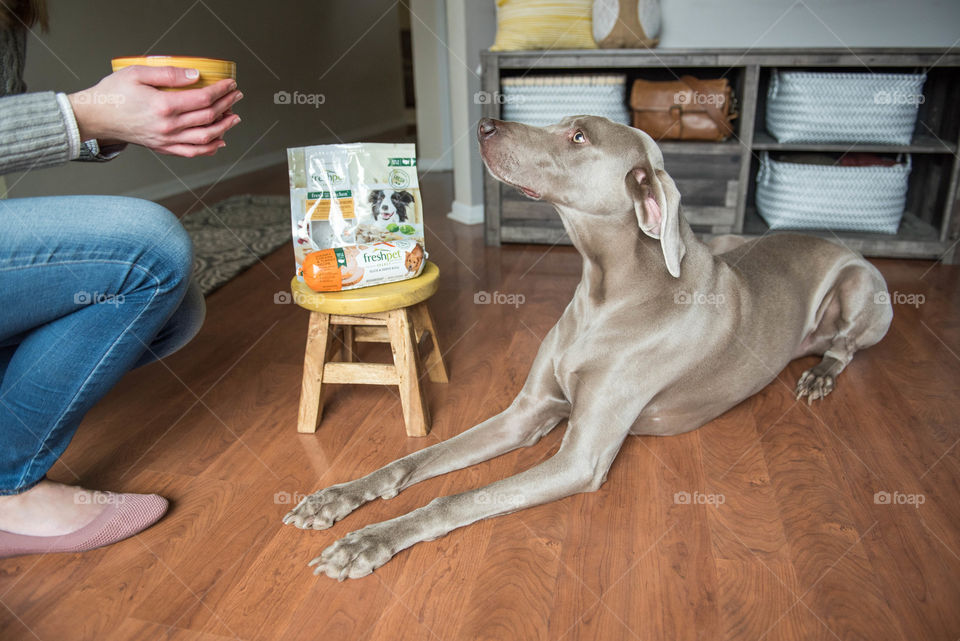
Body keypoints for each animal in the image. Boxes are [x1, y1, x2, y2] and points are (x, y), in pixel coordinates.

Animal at [284, 116, 892, 580]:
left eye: (578, 135)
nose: (483, 124)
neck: (607, 292)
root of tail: (826, 234)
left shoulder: (579, 459)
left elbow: (455, 497)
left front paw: (369, 541)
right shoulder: (525, 414)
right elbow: (413, 461)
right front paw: (337, 497)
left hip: (863, 289)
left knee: (846, 347)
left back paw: (820, 374)